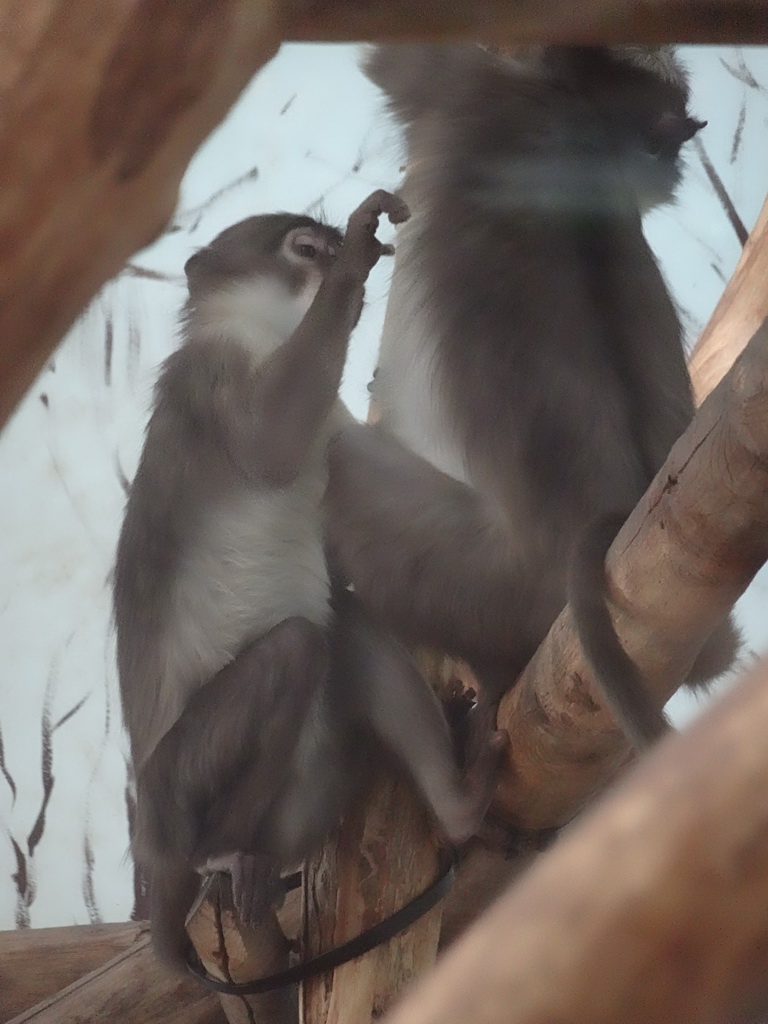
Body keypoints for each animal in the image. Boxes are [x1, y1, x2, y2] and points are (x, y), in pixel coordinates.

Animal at [114, 190, 507, 966]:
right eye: (305, 250)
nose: (332, 263)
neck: (270, 339)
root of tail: (155, 860)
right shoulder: (209, 373)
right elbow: (270, 447)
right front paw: (356, 259)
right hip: (172, 794)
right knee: (297, 649)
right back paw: (216, 855)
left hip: (301, 799)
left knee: (341, 633)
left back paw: (452, 806)